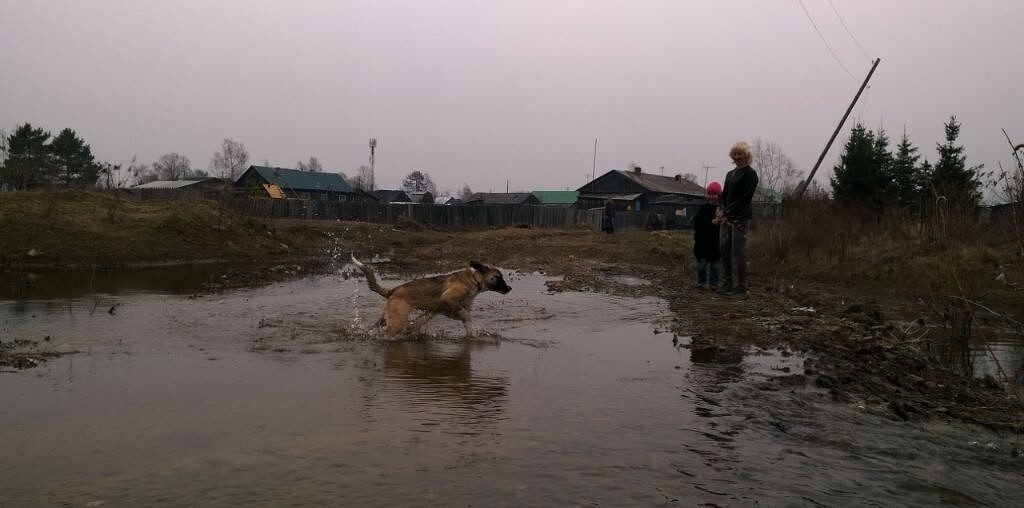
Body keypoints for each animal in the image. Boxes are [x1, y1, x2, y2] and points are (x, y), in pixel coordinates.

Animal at [352, 252, 512, 340]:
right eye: (498, 277)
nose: (509, 288)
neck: (474, 279)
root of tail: (392, 290)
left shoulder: (443, 309)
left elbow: (466, 320)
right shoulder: (449, 298)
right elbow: (465, 314)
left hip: (387, 318)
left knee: (374, 327)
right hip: (398, 321)